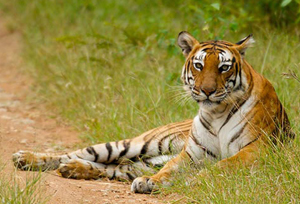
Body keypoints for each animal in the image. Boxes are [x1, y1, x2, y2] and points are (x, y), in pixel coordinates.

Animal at [12, 31, 294, 194]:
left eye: (224, 67)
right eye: (199, 65)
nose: (207, 91)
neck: (215, 113)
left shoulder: (256, 149)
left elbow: (222, 166)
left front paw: (194, 181)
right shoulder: (191, 154)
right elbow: (170, 169)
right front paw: (155, 182)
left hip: (136, 162)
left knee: (115, 168)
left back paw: (74, 170)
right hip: (134, 143)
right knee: (76, 154)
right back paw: (26, 158)